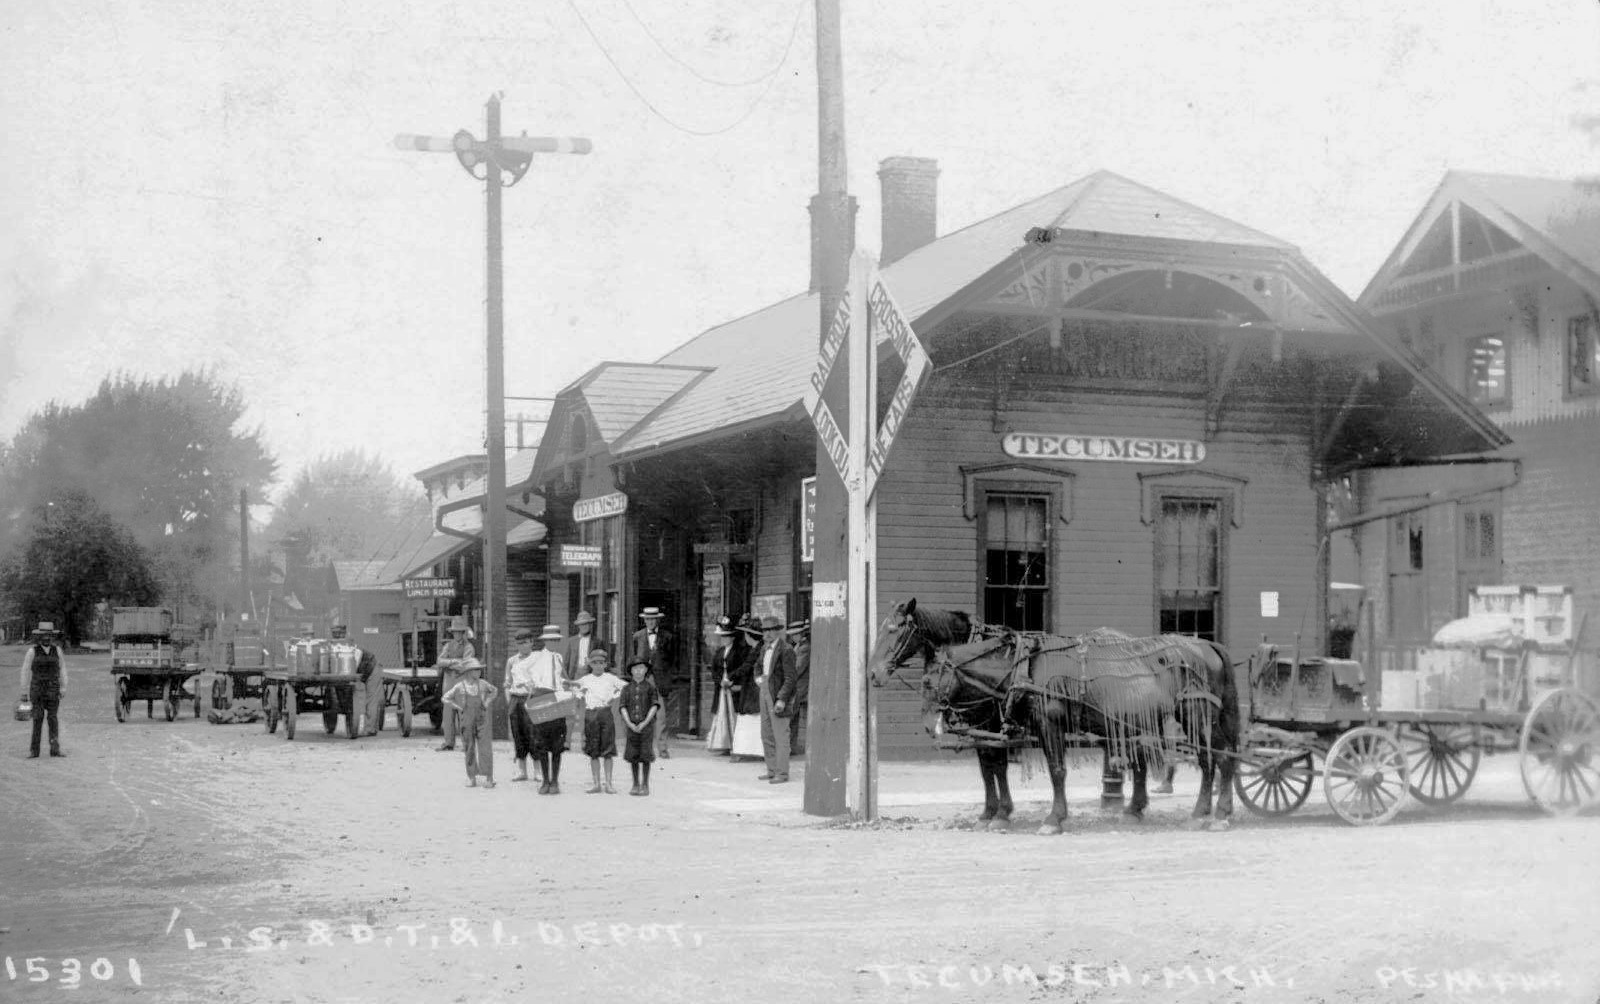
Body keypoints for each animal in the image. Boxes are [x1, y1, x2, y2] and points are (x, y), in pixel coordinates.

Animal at [870, 601, 1241, 837]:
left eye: (894, 630)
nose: (873, 673)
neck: (1019, 667)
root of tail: (1207, 646)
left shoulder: (1041, 726)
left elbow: (1049, 770)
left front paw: (1046, 818)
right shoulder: (989, 727)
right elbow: (991, 768)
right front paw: (994, 814)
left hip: (1196, 717)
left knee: (1213, 760)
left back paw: (1208, 813)